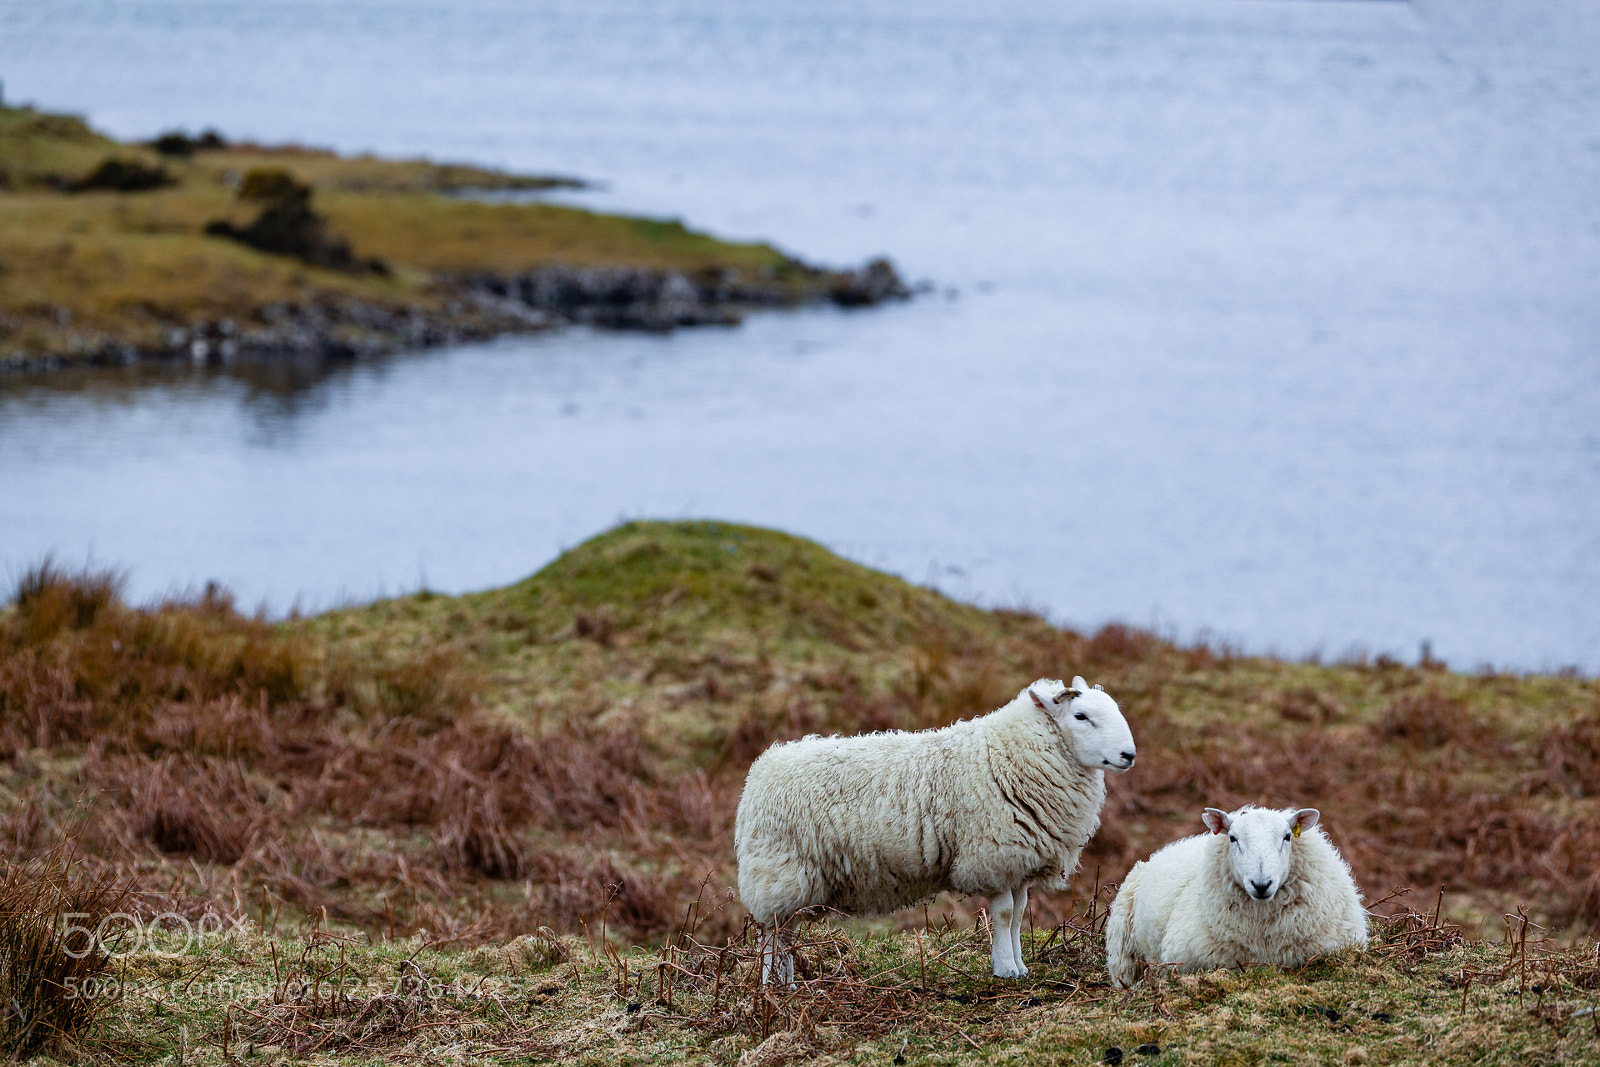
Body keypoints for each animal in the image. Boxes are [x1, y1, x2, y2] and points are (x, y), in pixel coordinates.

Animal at [735, 676, 1136, 983]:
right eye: (1081, 716)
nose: (1129, 755)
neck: (1012, 754)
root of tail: (761, 769)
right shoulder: (992, 856)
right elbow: (1005, 915)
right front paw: (1005, 969)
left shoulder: (1020, 861)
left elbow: (1020, 915)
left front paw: (1020, 965)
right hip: (776, 872)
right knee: (771, 936)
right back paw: (771, 988)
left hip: (791, 882)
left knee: (786, 933)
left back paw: (787, 984)